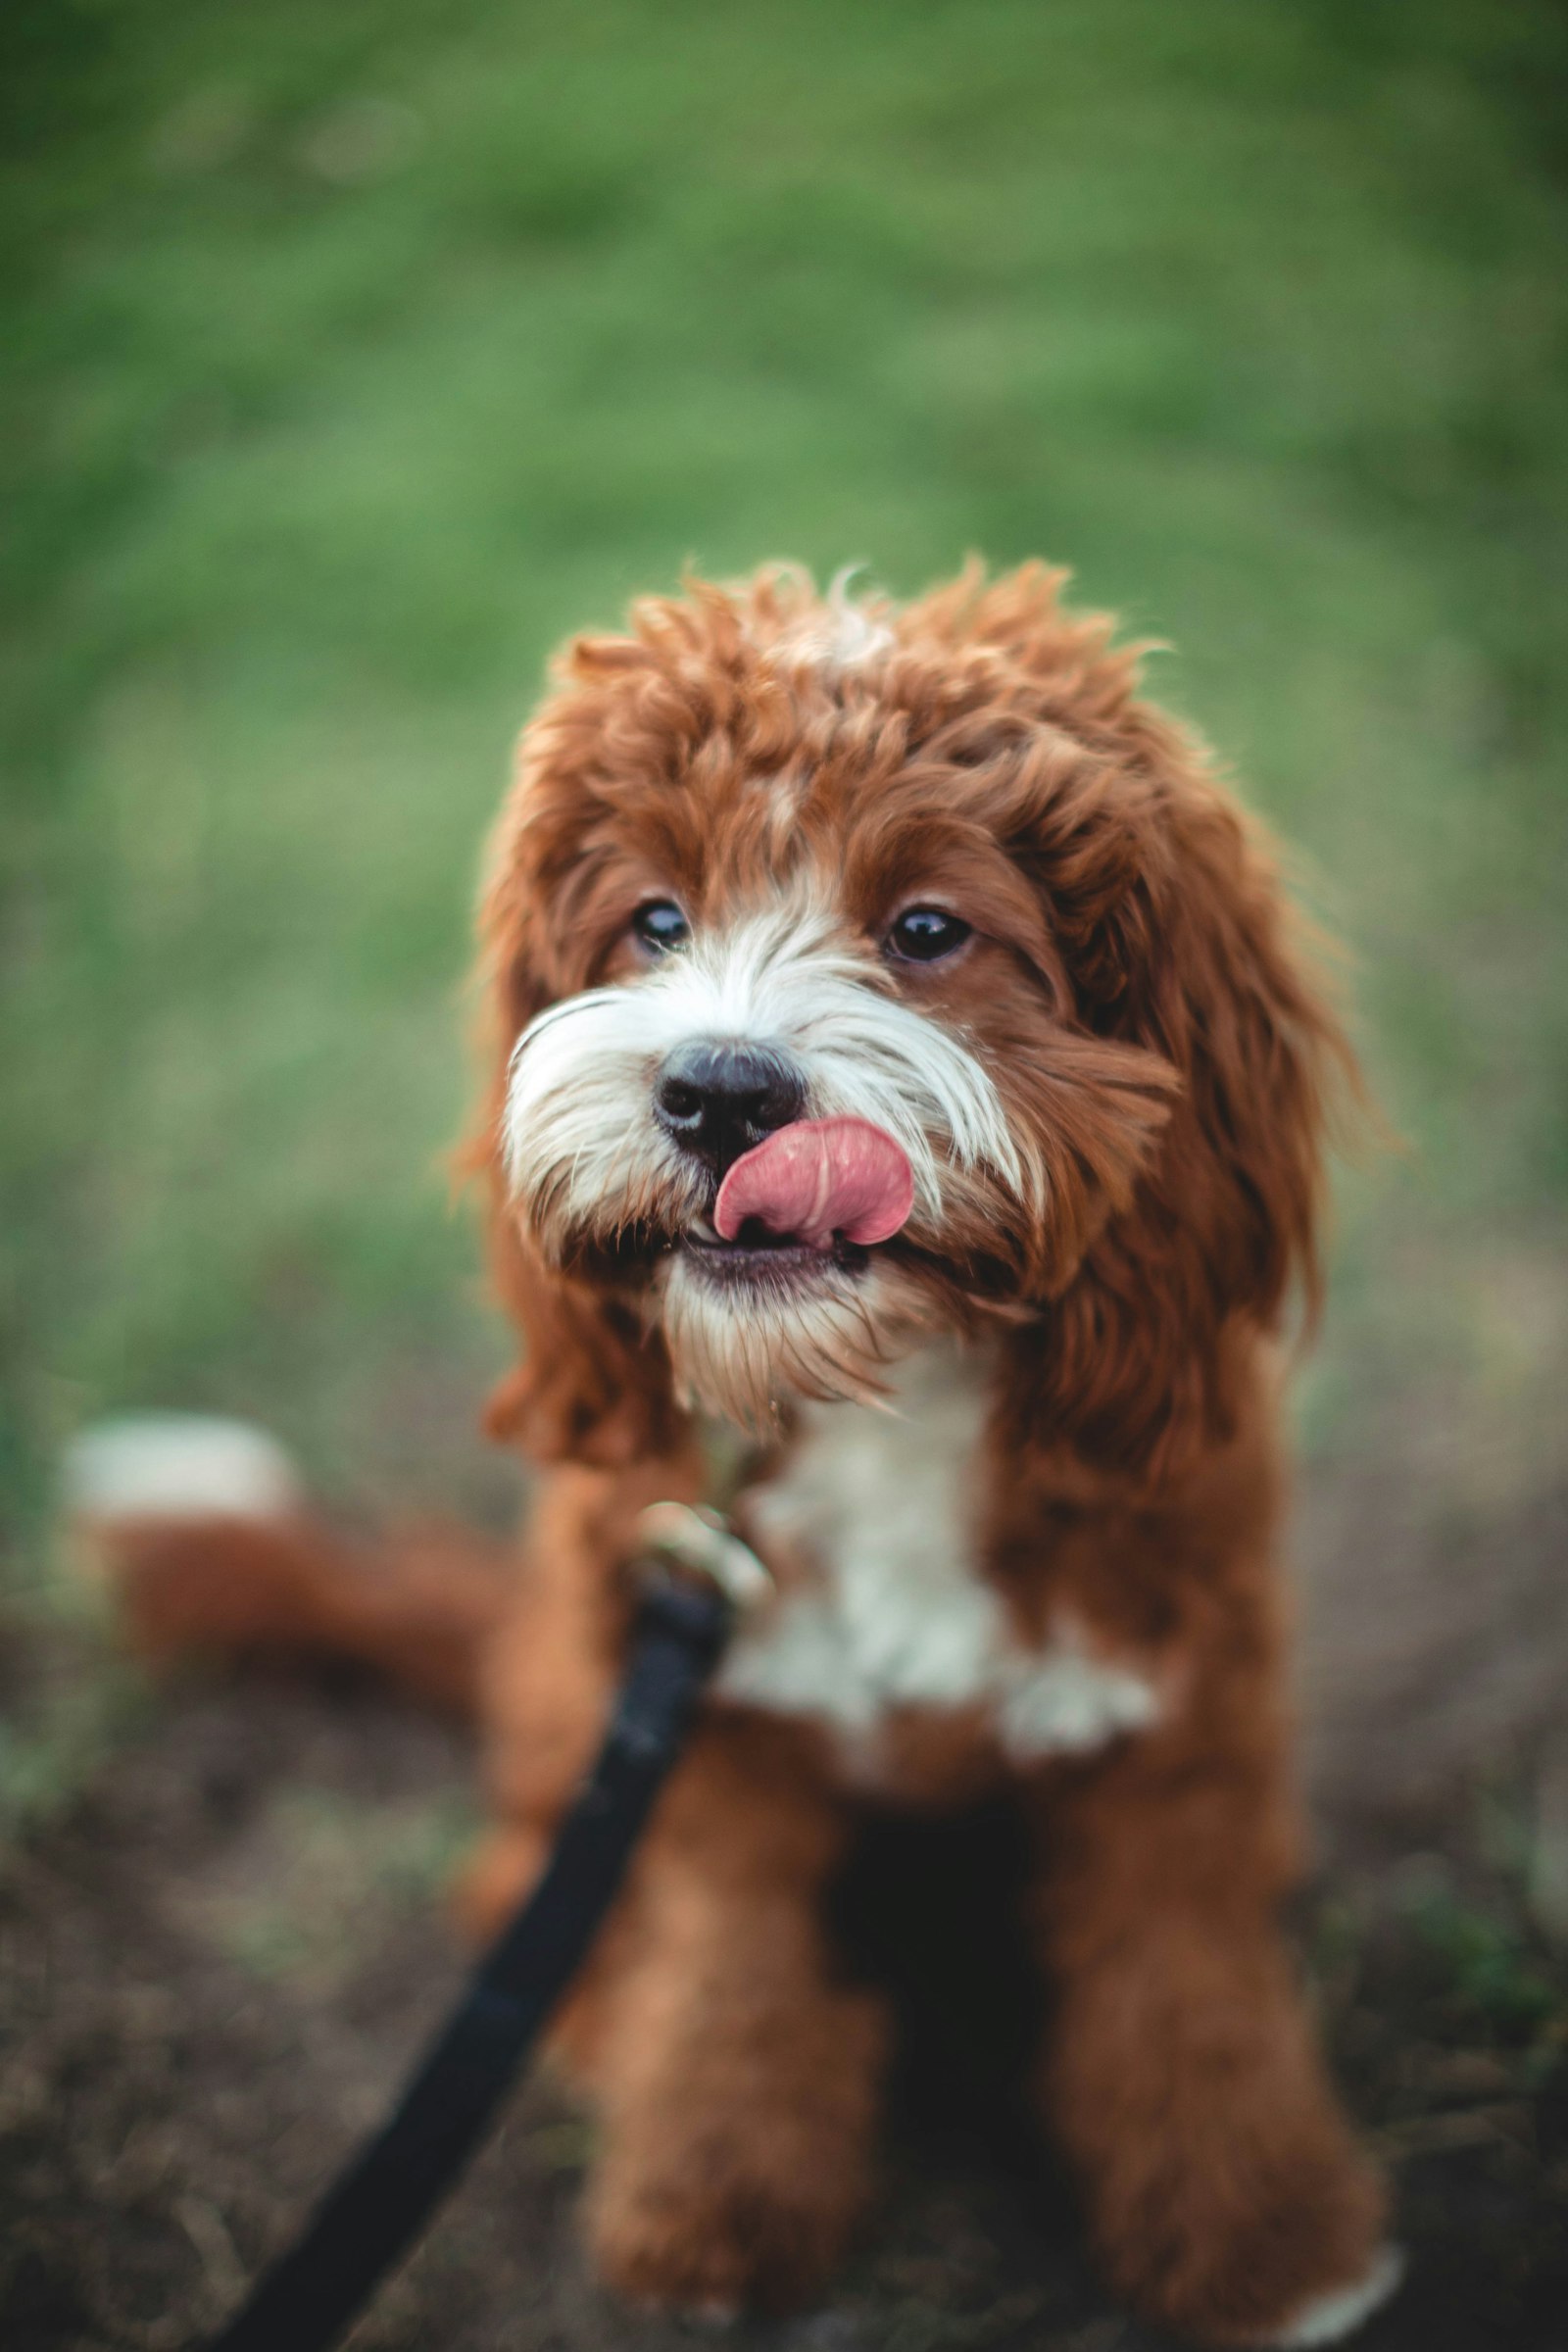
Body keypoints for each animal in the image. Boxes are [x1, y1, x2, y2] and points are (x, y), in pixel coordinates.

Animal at [73, 560, 1400, 2342]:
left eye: (928, 929)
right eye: (653, 921)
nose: (714, 1091)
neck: (880, 1400)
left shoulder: (1169, 1712)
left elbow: (1184, 1985)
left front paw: (1269, 2239)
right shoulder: (702, 1737)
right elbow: (730, 1977)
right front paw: (711, 2199)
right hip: (572, 1707)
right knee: (523, 1900)